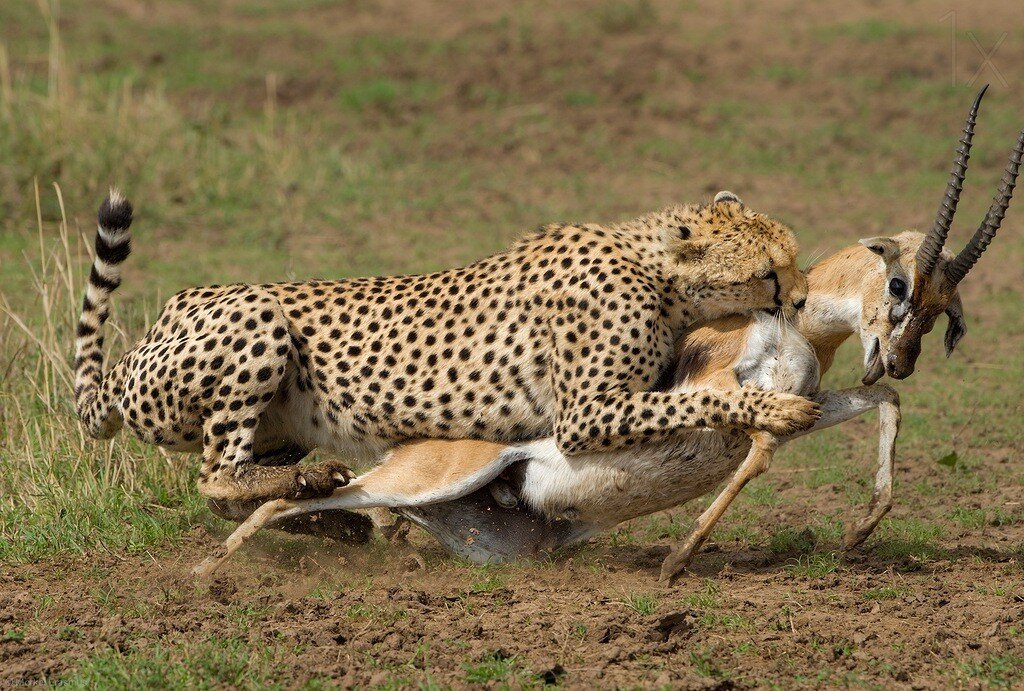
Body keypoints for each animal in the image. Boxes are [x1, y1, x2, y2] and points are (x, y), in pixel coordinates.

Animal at [74, 186, 815, 511]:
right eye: (770, 274)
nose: (803, 300)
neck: (655, 269)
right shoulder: (584, 413)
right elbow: (699, 401)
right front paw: (773, 408)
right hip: (254, 315)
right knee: (214, 473)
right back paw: (300, 483)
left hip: (274, 418)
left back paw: (304, 483)